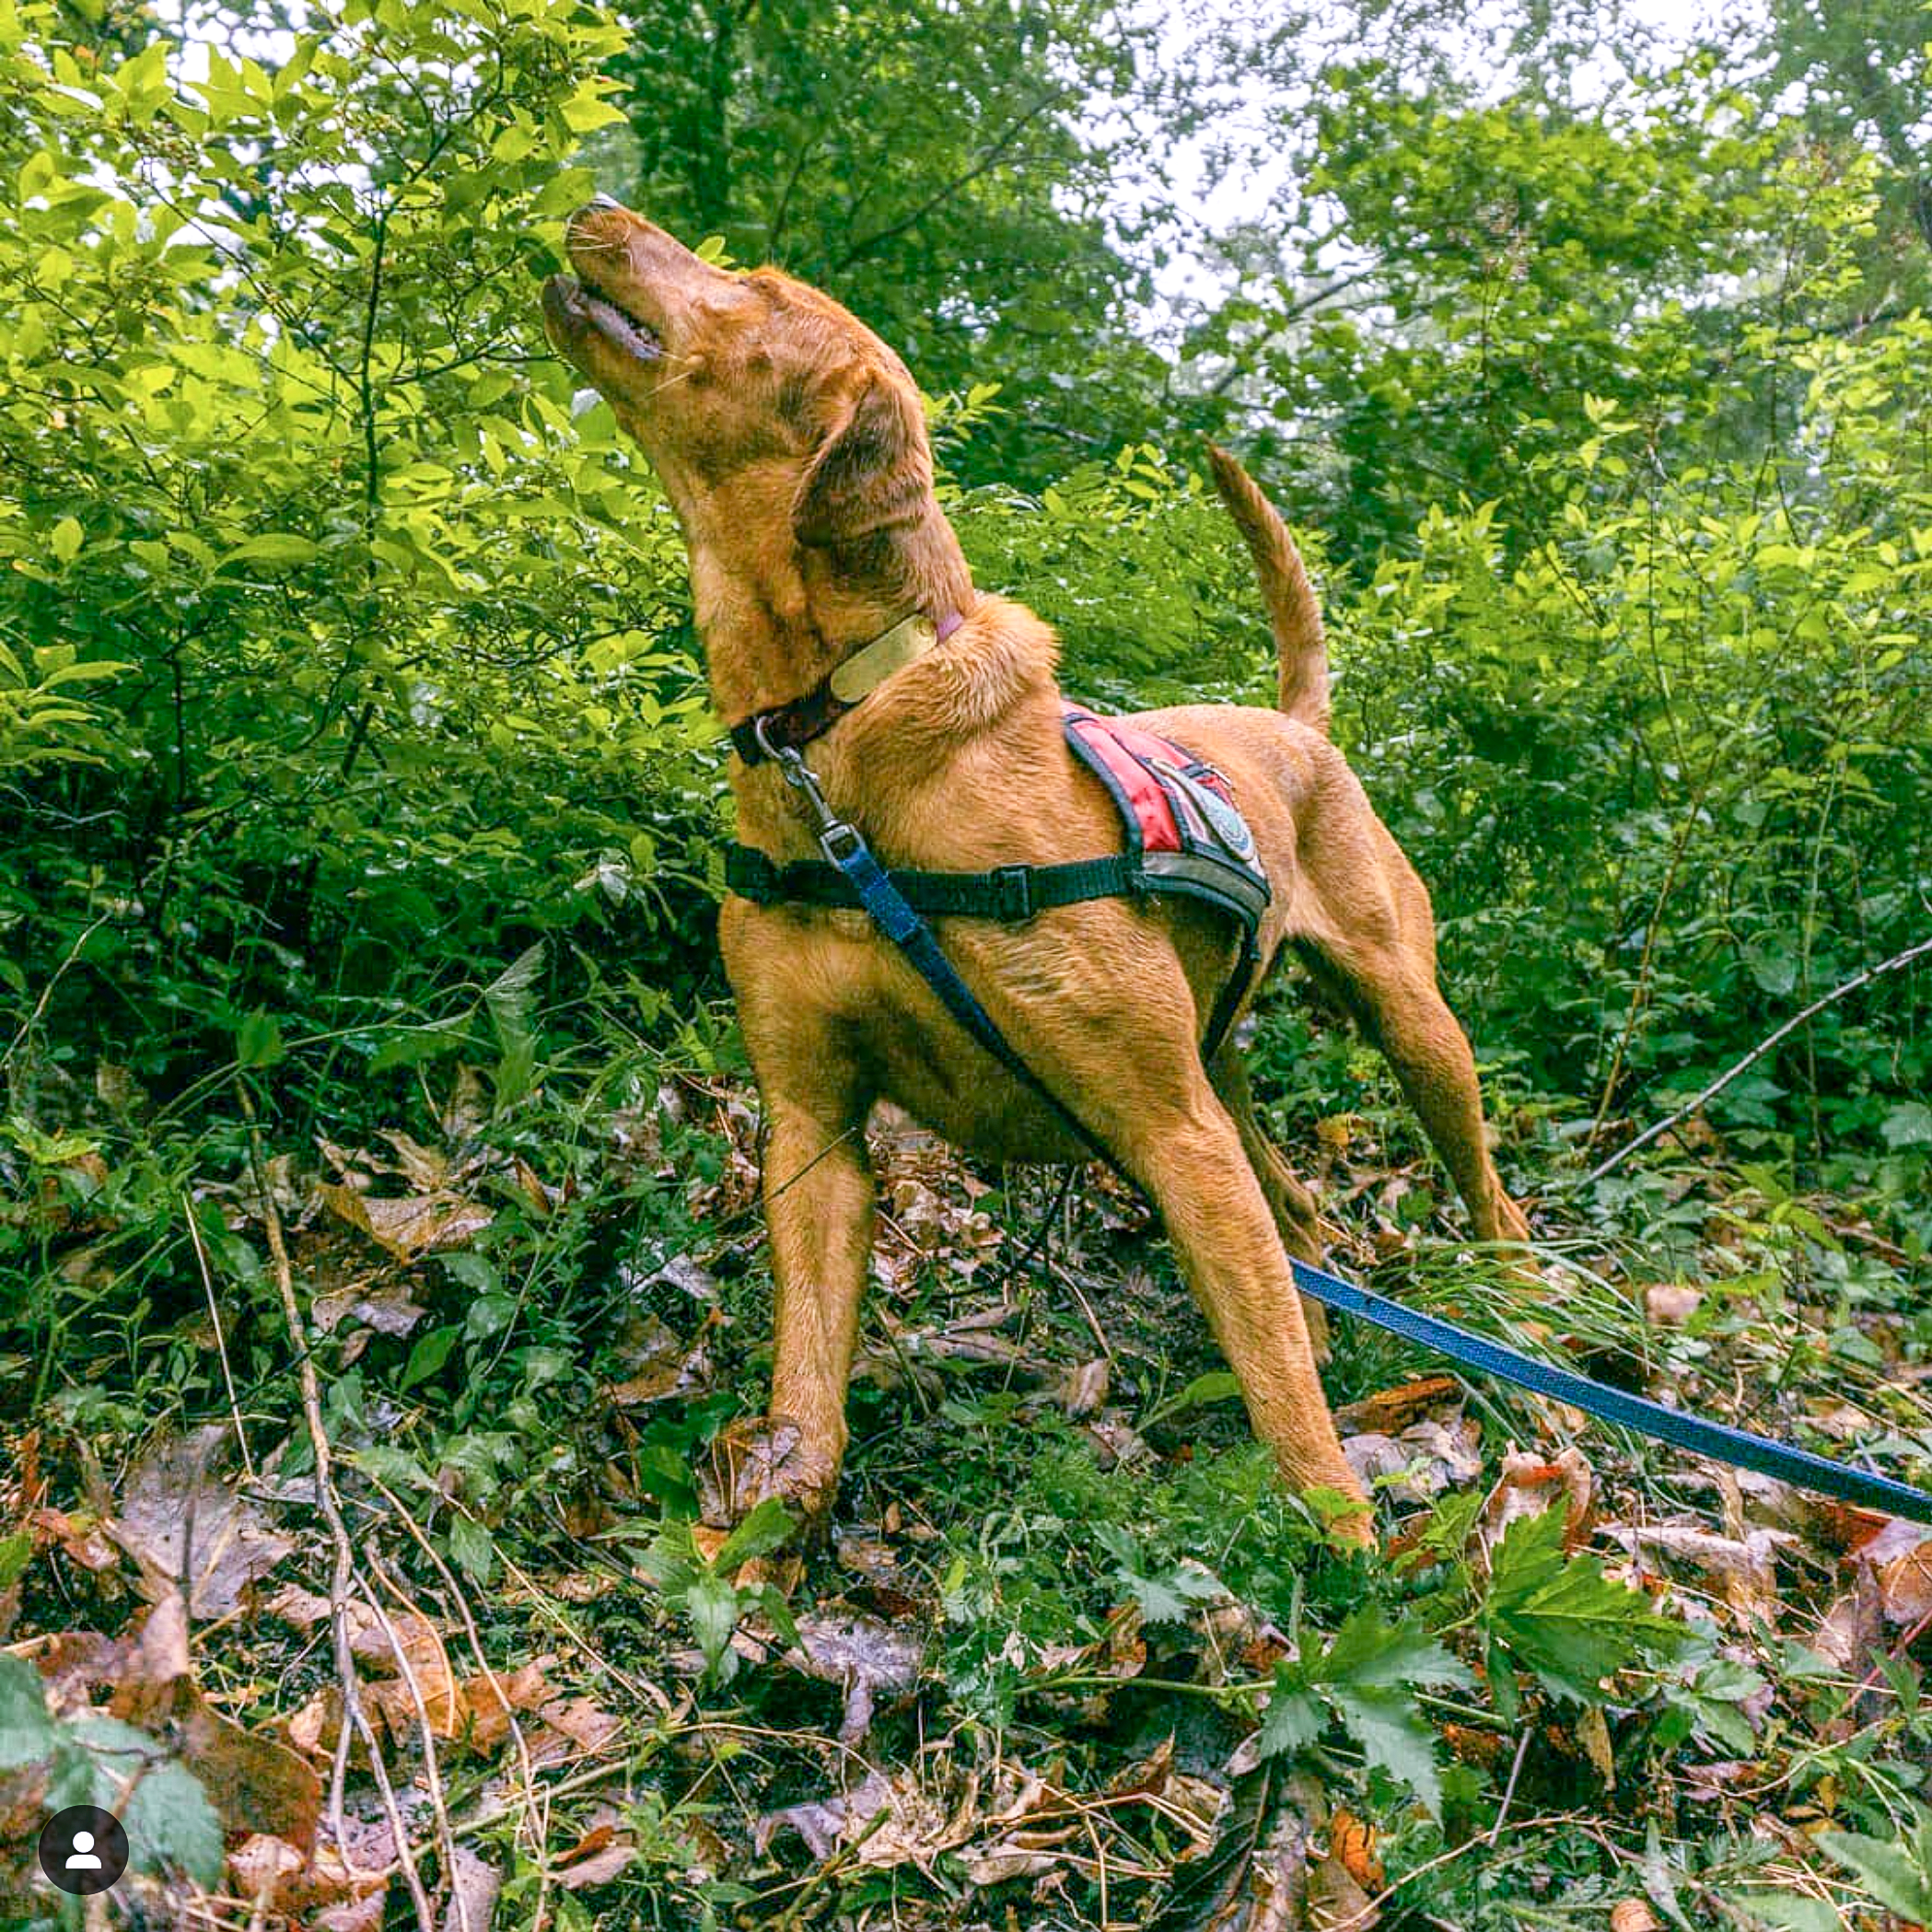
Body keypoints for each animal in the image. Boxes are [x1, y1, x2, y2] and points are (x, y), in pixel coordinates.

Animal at [541, 195, 1522, 1545]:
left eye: (757, 287)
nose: (595, 207)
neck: (840, 733)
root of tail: (1298, 729)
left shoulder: (1172, 1133)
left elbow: (1285, 1403)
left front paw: (1348, 1557)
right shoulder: (813, 1135)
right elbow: (806, 1393)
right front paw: (760, 1548)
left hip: (1406, 1025)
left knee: (1479, 1197)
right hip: (1221, 1077)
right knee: (1302, 1225)